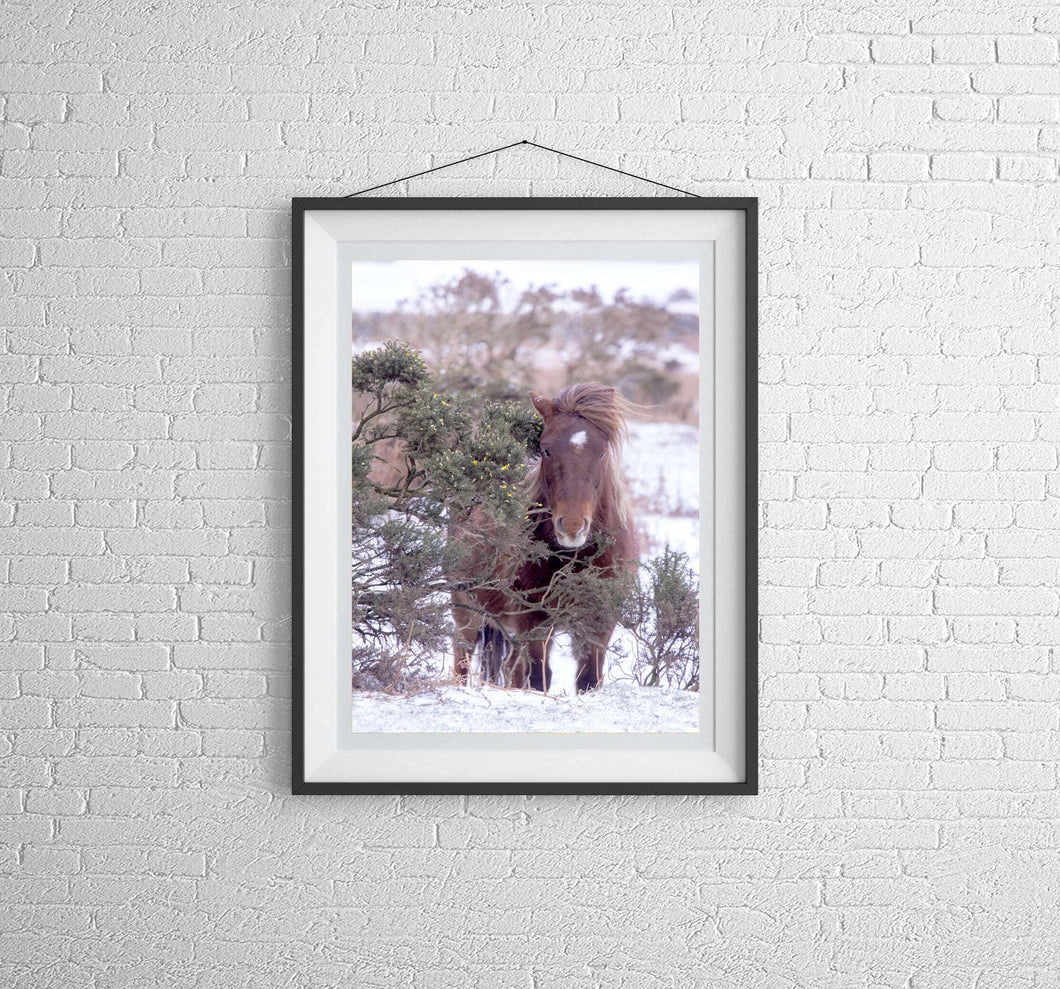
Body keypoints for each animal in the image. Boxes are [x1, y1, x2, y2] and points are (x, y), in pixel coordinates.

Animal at [450, 382, 638, 694]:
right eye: (545, 449)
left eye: (601, 453)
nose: (572, 527)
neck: (573, 559)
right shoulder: (533, 621)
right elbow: (538, 678)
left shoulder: (599, 622)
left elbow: (588, 679)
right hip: (467, 611)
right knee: (462, 660)